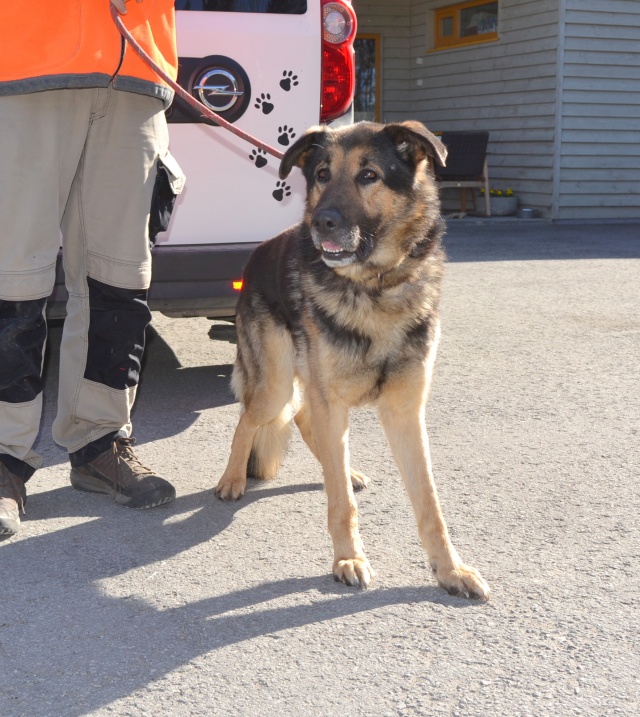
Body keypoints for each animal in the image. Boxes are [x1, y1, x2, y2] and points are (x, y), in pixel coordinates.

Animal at [215, 120, 489, 599]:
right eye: (322, 174)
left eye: (369, 176)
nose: (322, 221)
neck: (376, 287)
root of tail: (255, 255)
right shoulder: (333, 401)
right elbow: (340, 504)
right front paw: (348, 558)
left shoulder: (405, 412)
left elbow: (430, 502)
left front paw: (449, 568)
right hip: (275, 384)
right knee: (250, 419)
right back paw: (233, 478)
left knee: (307, 422)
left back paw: (342, 468)